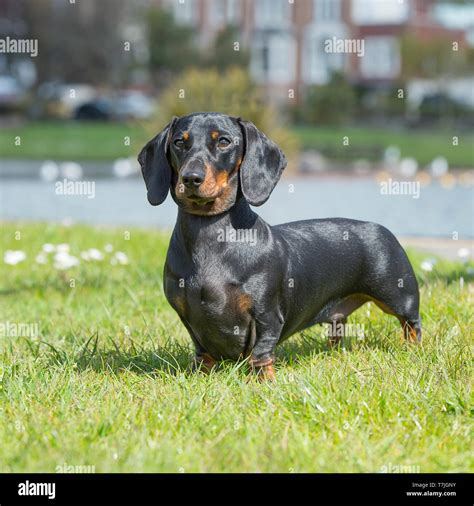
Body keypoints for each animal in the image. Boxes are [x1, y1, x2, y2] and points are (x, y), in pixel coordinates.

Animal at [138, 111, 422, 380]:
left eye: (224, 141)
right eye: (178, 142)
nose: (190, 178)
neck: (211, 236)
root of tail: (380, 227)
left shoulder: (267, 315)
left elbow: (261, 352)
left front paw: (263, 380)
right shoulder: (188, 316)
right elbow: (202, 350)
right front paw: (201, 375)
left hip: (399, 297)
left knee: (412, 324)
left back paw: (413, 351)